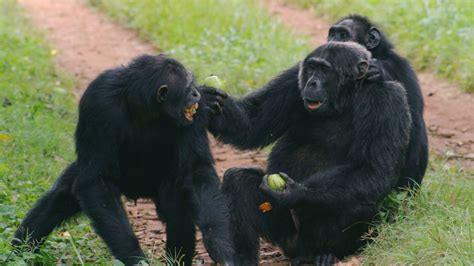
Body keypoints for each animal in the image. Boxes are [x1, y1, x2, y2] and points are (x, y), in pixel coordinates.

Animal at [13, 54, 237, 266]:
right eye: (189, 86)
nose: (196, 93)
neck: (145, 108)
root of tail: (136, 192)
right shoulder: (99, 100)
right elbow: (96, 180)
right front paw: (136, 259)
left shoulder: (196, 114)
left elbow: (196, 171)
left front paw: (220, 247)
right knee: (59, 198)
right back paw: (20, 252)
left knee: (177, 210)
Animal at [204, 41, 412, 264]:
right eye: (312, 67)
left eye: (325, 69)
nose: (312, 82)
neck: (346, 98)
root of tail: (297, 250)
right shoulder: (291, 79)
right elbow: (252, 122)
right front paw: (208, 99)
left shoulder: (388, 101)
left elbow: (372, 168)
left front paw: (294, 192)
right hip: (284, 234)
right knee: (237, 180)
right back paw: (239, 258)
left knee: (356, 200)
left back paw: (326, 254)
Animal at [328, 14, 428, 189]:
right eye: (332, 34)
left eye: (343, 34)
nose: (332, 42)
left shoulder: (405, 69)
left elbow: (414, 117)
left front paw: (378, 71)